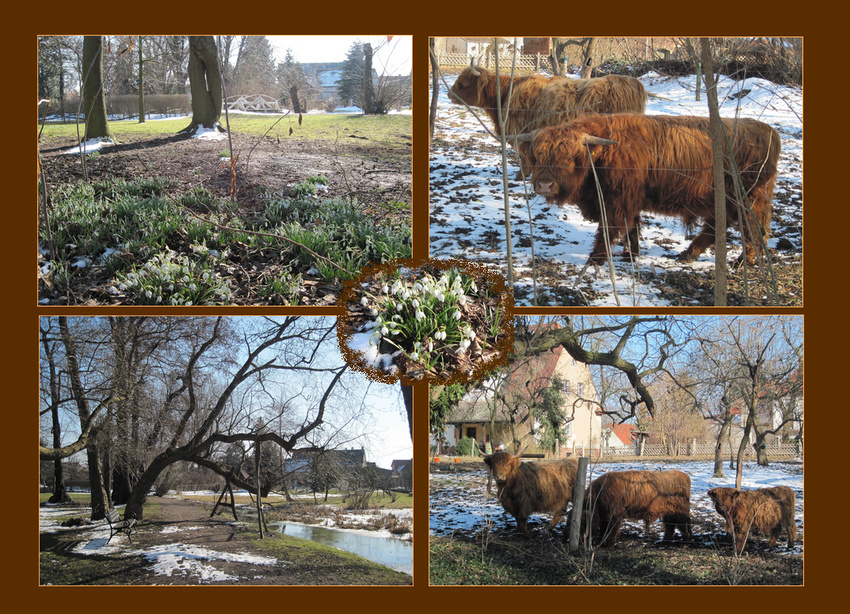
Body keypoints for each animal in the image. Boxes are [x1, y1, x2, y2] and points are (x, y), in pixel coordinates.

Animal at [450, 66, 644, 179]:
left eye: (463, 83)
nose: (449, 94)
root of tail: (630, 82)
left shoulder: (521, 133)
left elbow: (524, 159)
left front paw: (520, 178)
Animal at [512, 113, 780, 264]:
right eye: (538, 155)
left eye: (569, 157)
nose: (545, 184)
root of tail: (769, 131)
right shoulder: (629, 199)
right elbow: (632, 227)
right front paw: (631, 254)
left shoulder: (618, 200)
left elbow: (610, 228)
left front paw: (596, 258)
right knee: (716, 227)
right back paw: (689, 254)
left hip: (749, 198)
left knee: (753, 227)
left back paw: (743, 261)